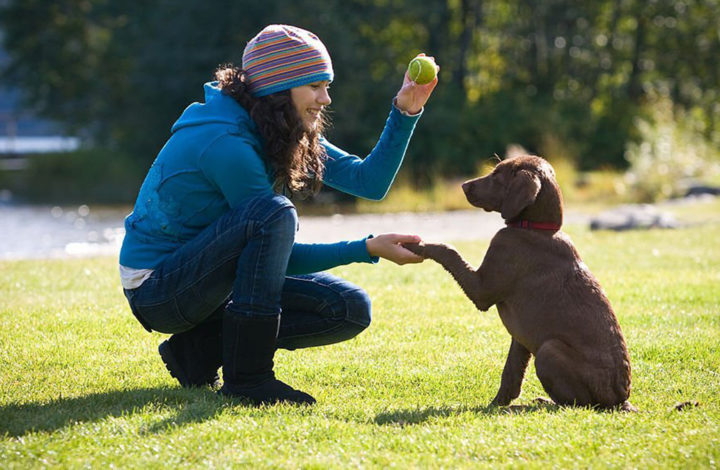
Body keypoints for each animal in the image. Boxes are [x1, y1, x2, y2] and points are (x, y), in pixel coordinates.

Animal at [404, 156, 636, 410]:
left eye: (497, 174)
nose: (464, 186)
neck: (537, 229)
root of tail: (620, 400)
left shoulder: (482, 290)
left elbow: (449, 250)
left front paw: (417, 245)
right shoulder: (520, 336)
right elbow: (511, 372)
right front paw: (497, 403)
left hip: (548, 350)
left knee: (576, 404)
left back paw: (542, 403)